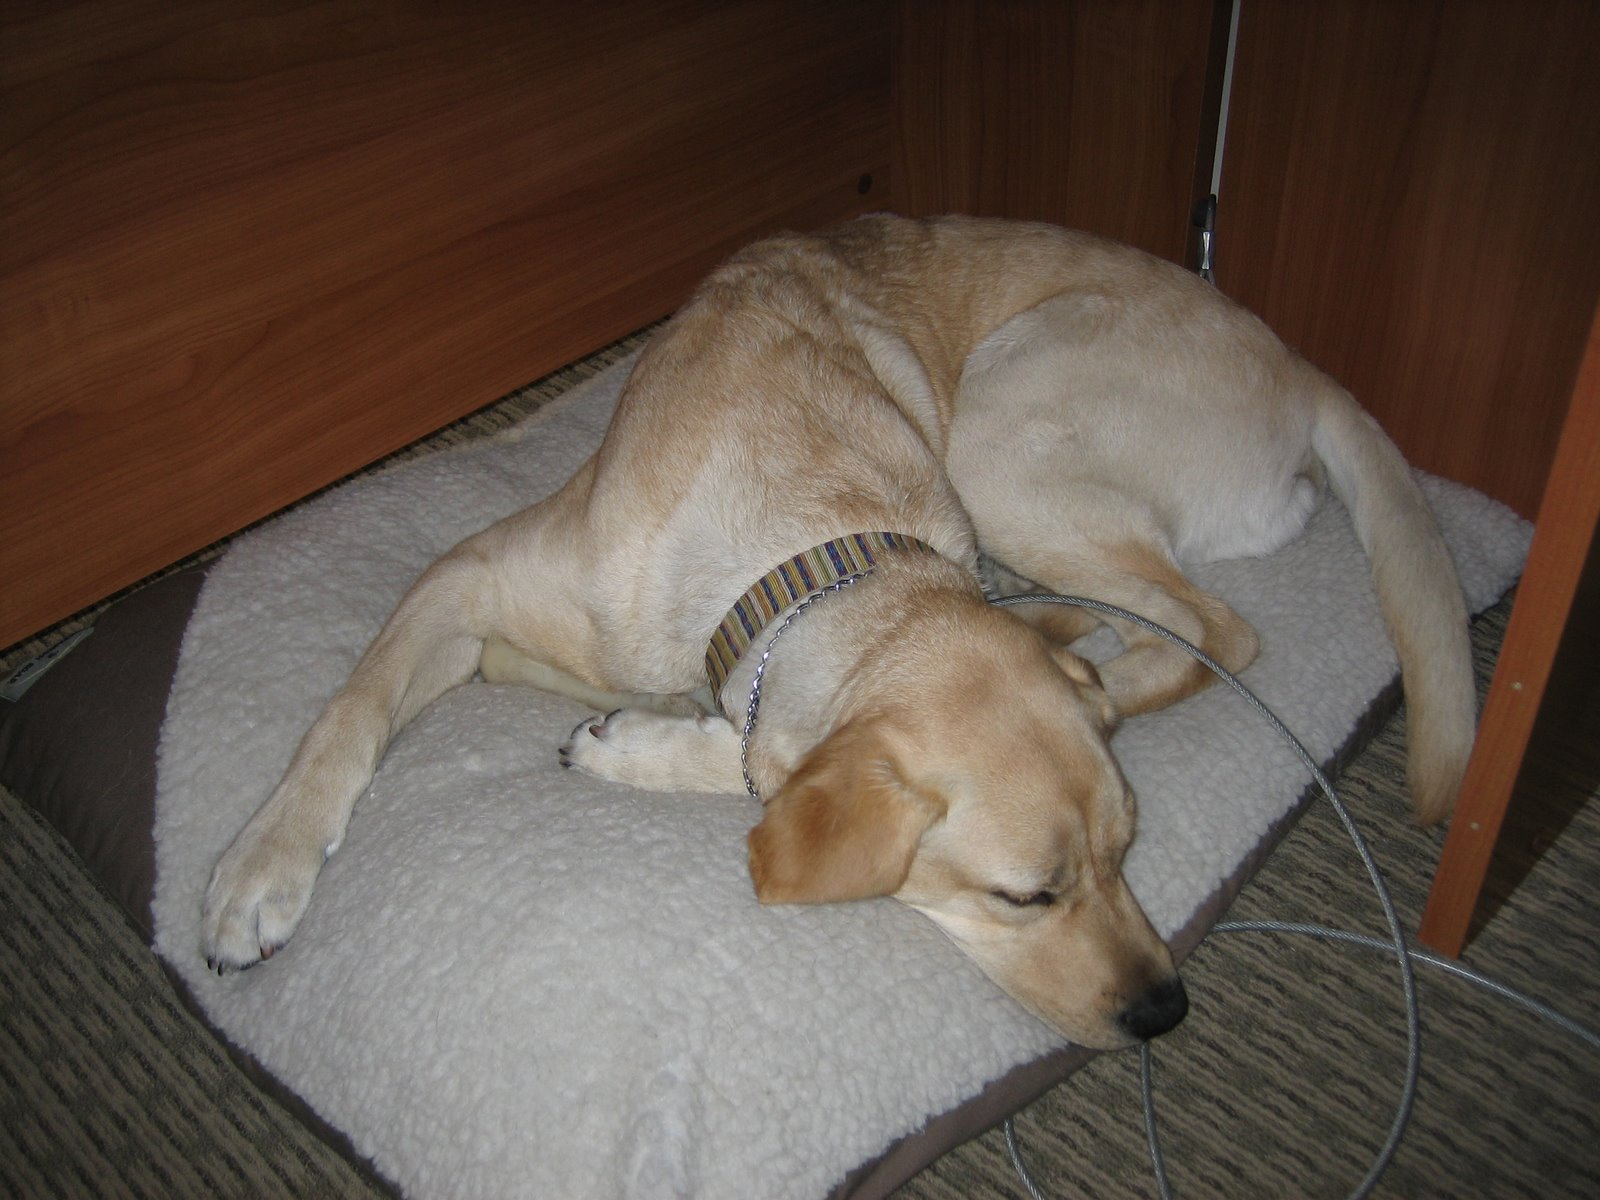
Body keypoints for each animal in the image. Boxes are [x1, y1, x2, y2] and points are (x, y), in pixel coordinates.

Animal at [201, 215, 1473, 1050]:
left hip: (1008, 428)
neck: (810, 544)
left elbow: (759, 762)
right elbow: (350, 707)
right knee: (1181, 629)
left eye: (1129, 851)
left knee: (1210, 633)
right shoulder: (464, 577)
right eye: (1029, 895)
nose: (1168, 1010)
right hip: (1004, 437)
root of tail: (1301, 365)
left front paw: (648, 746)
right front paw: (259, 864)